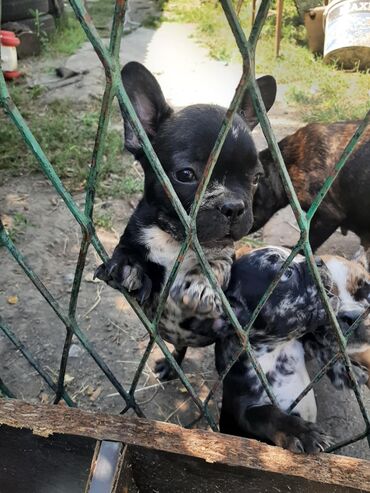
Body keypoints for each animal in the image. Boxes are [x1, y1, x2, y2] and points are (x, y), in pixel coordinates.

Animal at [94, 60, 276, 376]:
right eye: (186, 175)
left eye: (256, 178)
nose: (233, 206)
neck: (174, 238)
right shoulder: (135, 233)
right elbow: (127, 250)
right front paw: (128, 267)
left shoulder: (224, 253)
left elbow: (217, 265)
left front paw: (201, 284)